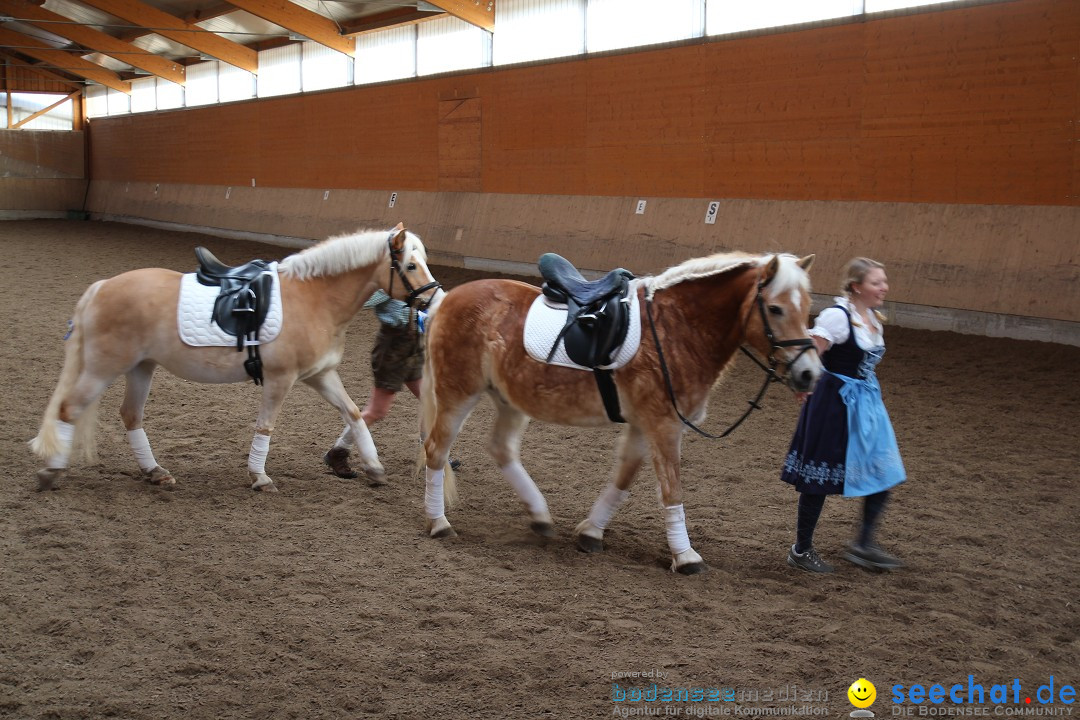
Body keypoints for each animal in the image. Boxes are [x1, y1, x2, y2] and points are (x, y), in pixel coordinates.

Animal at [30, 225, 442, 492]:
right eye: (410, 265)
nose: (435, 299)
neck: (314, 297)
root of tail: (101, 288)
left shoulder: (320, 374)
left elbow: (354, 413)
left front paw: (373, 467)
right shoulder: (281, 378)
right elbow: (266, 426)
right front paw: (259, 476)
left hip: (140, 368)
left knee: (130, 415)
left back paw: (155, 472)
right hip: (104, 367)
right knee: (69, 409)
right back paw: (52, 472)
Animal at [419, 253, 816, 574]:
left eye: (807, 307)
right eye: (776, 309)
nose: (809, 373)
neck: (679, 328)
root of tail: (450, 298)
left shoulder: (643, 425)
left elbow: (623, 479)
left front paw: (591, 532)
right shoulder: (664, 424)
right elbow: (672, 488)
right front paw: (686, 556)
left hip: (509, 399)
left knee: (501, 448)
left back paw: (540, 516)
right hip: (458, 393)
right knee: (436, 450)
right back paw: (438, 523)